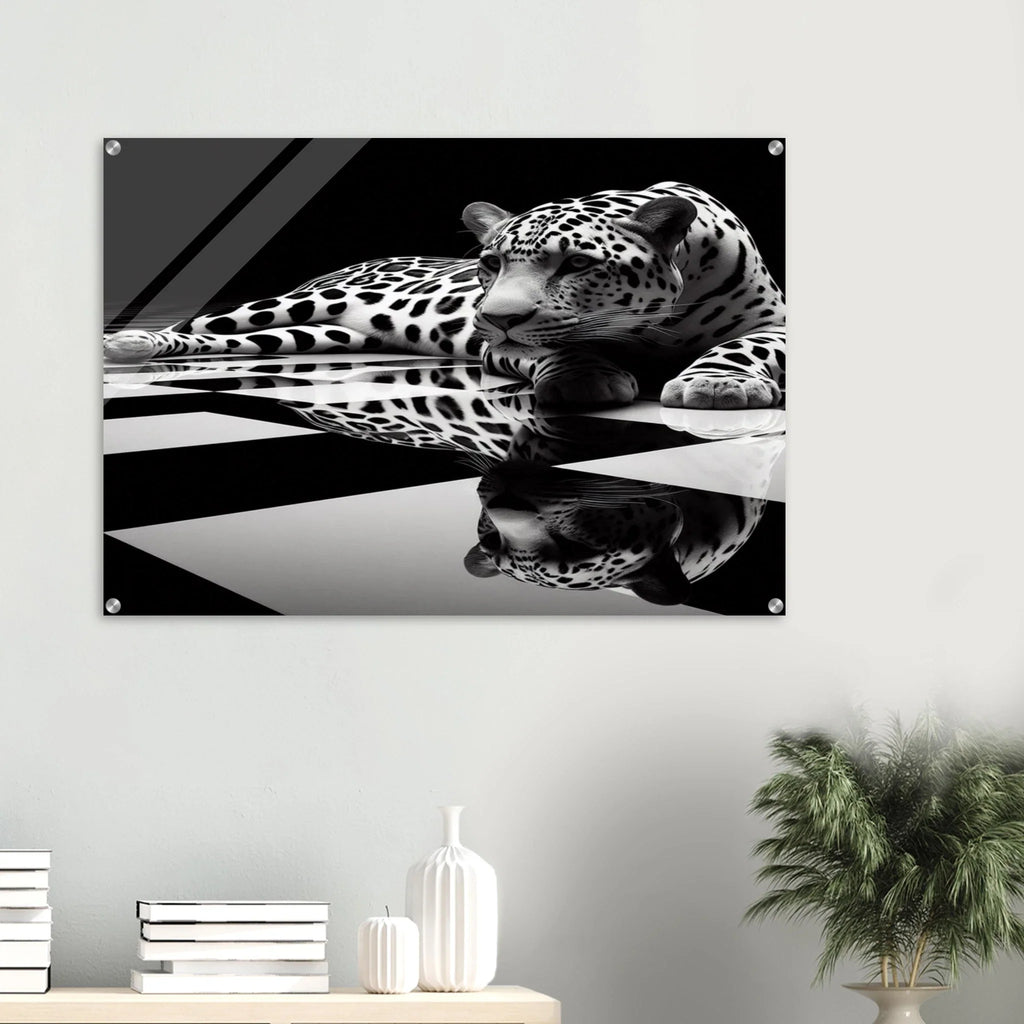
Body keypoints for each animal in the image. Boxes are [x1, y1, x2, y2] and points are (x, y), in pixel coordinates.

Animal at [104, 182, 785, 410]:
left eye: (576, 263)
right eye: (489, 264)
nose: (494, 317)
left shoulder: (777, 324)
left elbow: (744, 347)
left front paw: (718, 383)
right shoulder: (499, 349)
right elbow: (554, 348)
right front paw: (584, 377)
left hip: (318, 335)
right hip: (293, 306)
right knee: (205, 324)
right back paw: (129, 344)